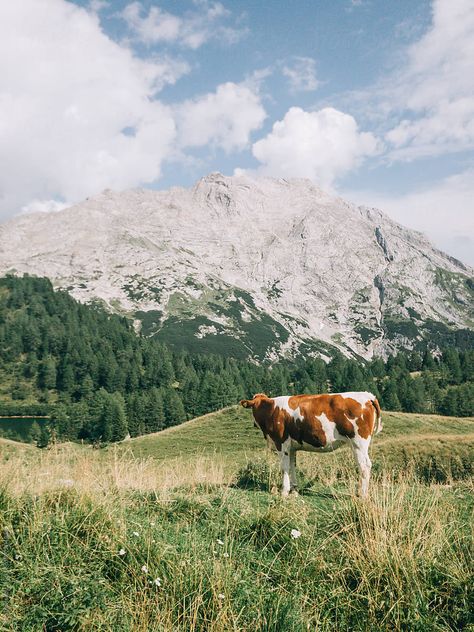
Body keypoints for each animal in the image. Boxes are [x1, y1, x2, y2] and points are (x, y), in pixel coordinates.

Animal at [241, 390, 382, 498]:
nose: (254, 424)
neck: (271, 410)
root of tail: (367, 395)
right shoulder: (292, 447)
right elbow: (292, 466)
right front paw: (294, 490)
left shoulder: (281, 443)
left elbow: (284, 467)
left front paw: (284, 491)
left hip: (359, 442)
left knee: (364, 465)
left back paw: (362, 494)